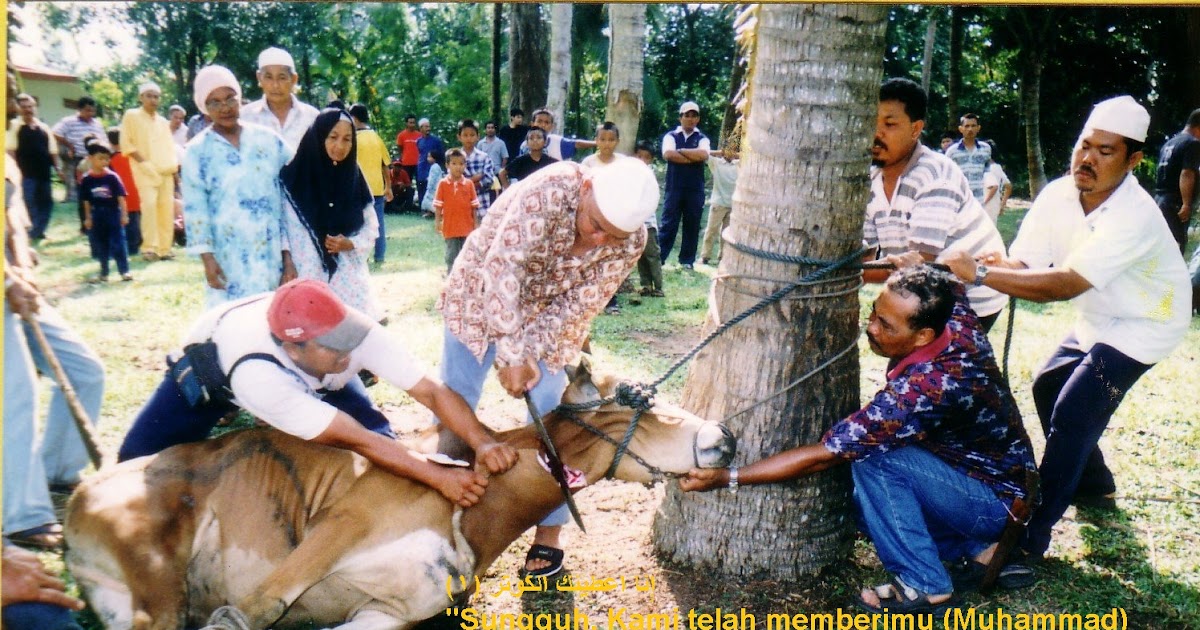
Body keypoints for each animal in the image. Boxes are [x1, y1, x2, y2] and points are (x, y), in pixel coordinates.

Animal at [68, 357, 739, 628]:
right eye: (636, 399)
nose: (726, 436)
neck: (474, 511)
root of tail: (81, 494)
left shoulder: (385, 614)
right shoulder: (338, 530)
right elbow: (250, 611)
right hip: (158, 591)